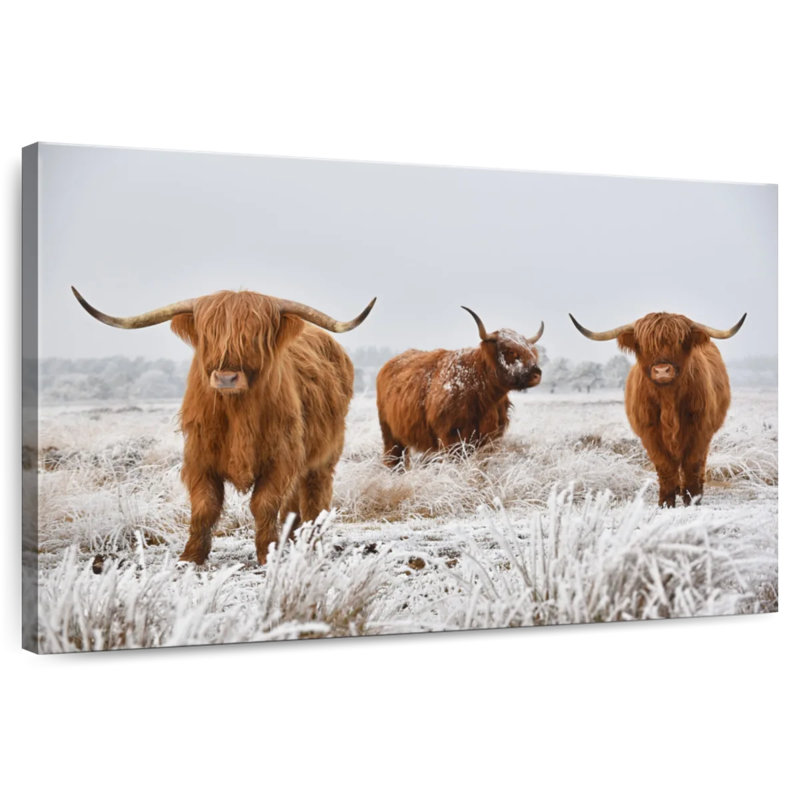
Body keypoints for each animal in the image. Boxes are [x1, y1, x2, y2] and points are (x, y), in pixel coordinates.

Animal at [72, 287, 375, 564]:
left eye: (255, 335)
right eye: (209, 335)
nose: (227, 378)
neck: (237, 412)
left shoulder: (280, 458)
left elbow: (263, 503)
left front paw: (267, 555)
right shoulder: (199, 457)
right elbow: (205, 506)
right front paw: (190, 557)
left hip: (323, 457)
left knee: (315, 495)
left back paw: (312, 543)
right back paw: (291, 539)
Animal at [376, 307, 544, 468]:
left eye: (532, 352)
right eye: (511, 351)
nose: (536, 373)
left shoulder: (490, 438)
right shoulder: (452, 438)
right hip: (390, 433)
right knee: (394, 458)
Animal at [569, 310, 746, 507]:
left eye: (679, 341)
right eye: (643, 345)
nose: (662, 370)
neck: (668, 400)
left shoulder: (700, 430)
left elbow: (692, 463)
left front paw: (692, 498)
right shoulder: (650, 433)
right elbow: (665, 465)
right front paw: (666, 501)